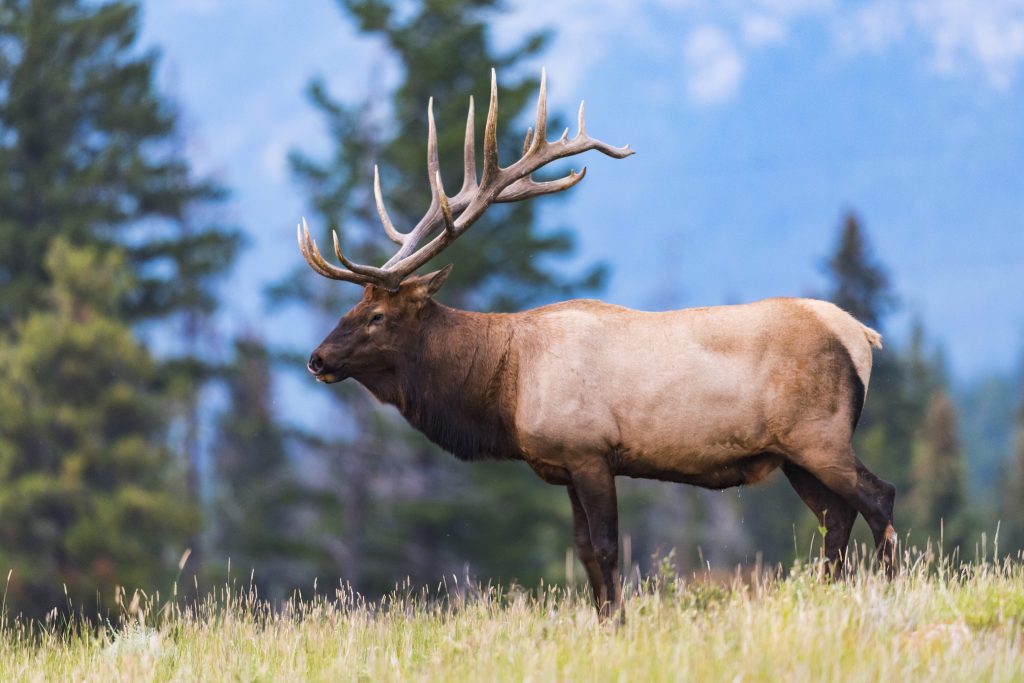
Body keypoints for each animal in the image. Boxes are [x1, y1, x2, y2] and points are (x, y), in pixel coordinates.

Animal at [296, 69, 897, 618]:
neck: (505, 387)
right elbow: (585, 554)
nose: (317, 359)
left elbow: (607, 550)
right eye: (352, 308)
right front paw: (606, 621)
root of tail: (862, 335)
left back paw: (891, 589)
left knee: (878, 497)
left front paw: (622, 624)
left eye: (376, 315)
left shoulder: (589, 451)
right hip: (794, 452)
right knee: (836, 516)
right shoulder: (563, 463)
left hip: (819, 434)